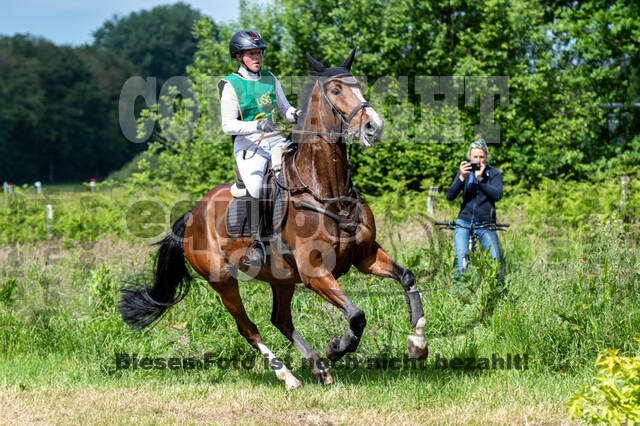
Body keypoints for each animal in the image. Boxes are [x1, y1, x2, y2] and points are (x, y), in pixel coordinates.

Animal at [118, 49, 428, 389]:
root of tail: (191, 215)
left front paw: (418, 343)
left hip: (281, 278)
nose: (374, 127)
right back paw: (288, 375)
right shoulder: (315, 273)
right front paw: (336, 348)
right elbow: (357, 315)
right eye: (335, 90)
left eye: (357, 84)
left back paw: (317, 367)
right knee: (249, 327)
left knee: (280, 319)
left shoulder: (366, 256)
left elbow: (407, 277)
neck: (326, 192)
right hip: (223, 281)